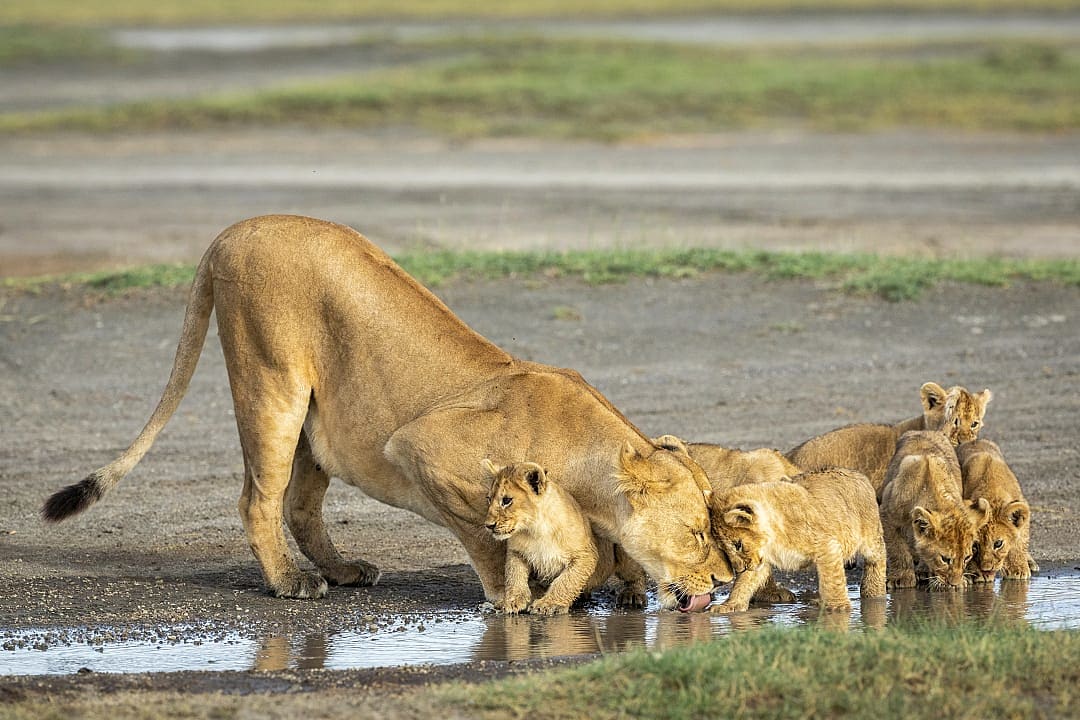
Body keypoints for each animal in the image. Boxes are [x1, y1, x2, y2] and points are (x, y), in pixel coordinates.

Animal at [482, 460, 609, 615]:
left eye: (506, 500)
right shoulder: (516, 552)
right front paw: (512, 600)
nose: (488, 525)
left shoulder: (586, 555)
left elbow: (566, 581)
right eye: (489, 499)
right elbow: (514, 576)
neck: (536, 529)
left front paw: (548, 604)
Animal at [708, 468, 887, 613]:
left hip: (871, 536)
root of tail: (858, 474)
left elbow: (833, 579)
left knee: (878, 558)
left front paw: (838, 607)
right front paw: (730, 605)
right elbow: (744, 583)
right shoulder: (760, 560)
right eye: (723, 548)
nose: (739, 569)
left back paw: (874, 593)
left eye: (738, 545)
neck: (774, 536)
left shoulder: (827, 546)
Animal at [879, 430, 991, 590]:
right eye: (945, 559)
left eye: (967, 557)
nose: (954, 584)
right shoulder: (887, 515)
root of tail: (924, 431)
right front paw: (902, 578)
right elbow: (897, 549)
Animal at [957, 439, 1036, 582]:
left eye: (998, 543)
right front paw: (977, 574)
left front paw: (1018, 569)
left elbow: (1020, 540)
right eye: (975, 546)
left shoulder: (1023, 504)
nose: (986, 569)